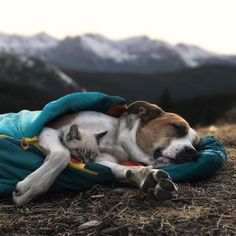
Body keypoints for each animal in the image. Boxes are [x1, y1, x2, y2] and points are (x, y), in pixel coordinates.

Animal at [12, 101, 199, 206]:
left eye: (196, 144)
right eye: (177, 127)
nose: (192, 152)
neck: (116, 139)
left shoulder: (101, 160)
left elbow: (119, 169)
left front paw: (147, 178)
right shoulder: (48, 130)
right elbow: (62, 155)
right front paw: (31, 186)